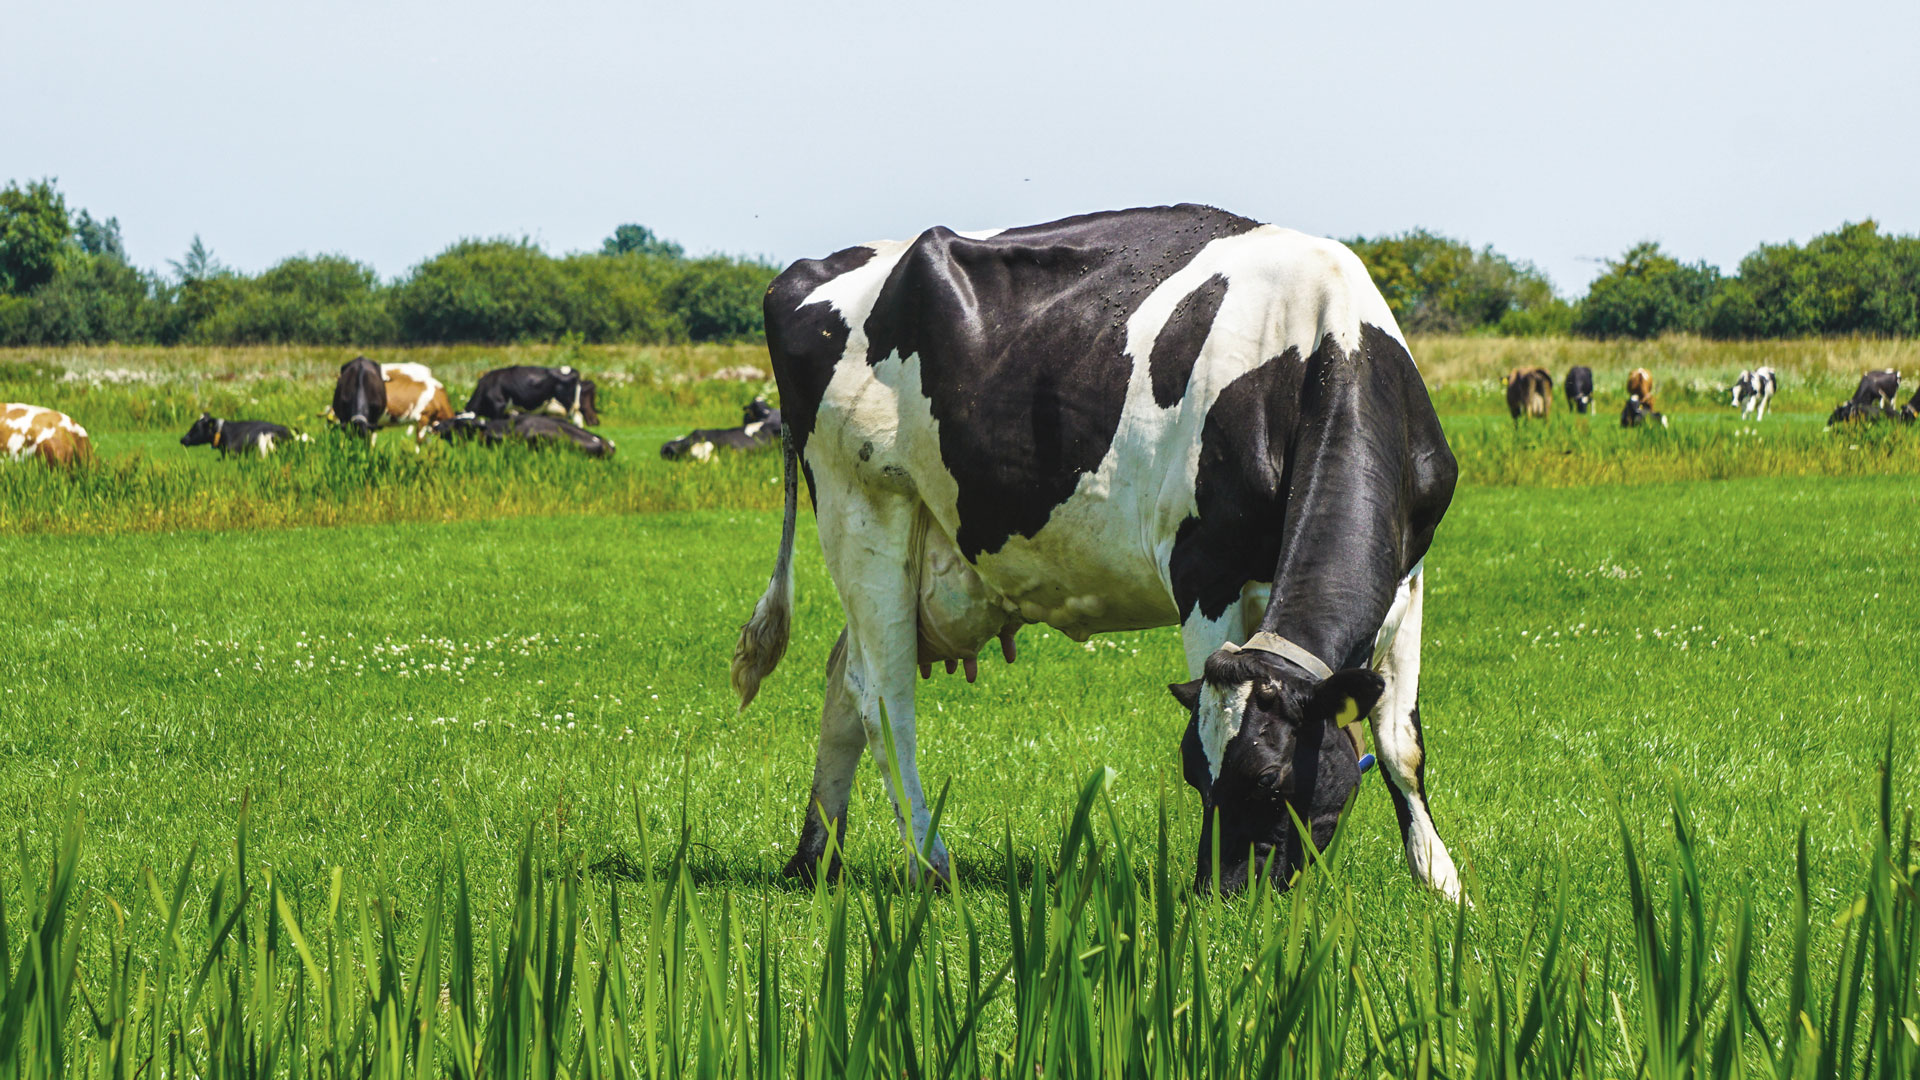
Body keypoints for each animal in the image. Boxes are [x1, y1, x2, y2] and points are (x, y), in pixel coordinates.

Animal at [725, 205, 1459, 895]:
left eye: (1272, 782)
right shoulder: (1205, 570)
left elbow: (1402, 744)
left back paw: (815, 858)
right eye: (1196, 779)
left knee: (842, 680)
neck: (1327, 345)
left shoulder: (1410, 572)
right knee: (882, 699)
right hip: (864, 509)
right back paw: (928, 862)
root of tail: (804, 272)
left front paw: (1440, 881)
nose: (1220, 896)